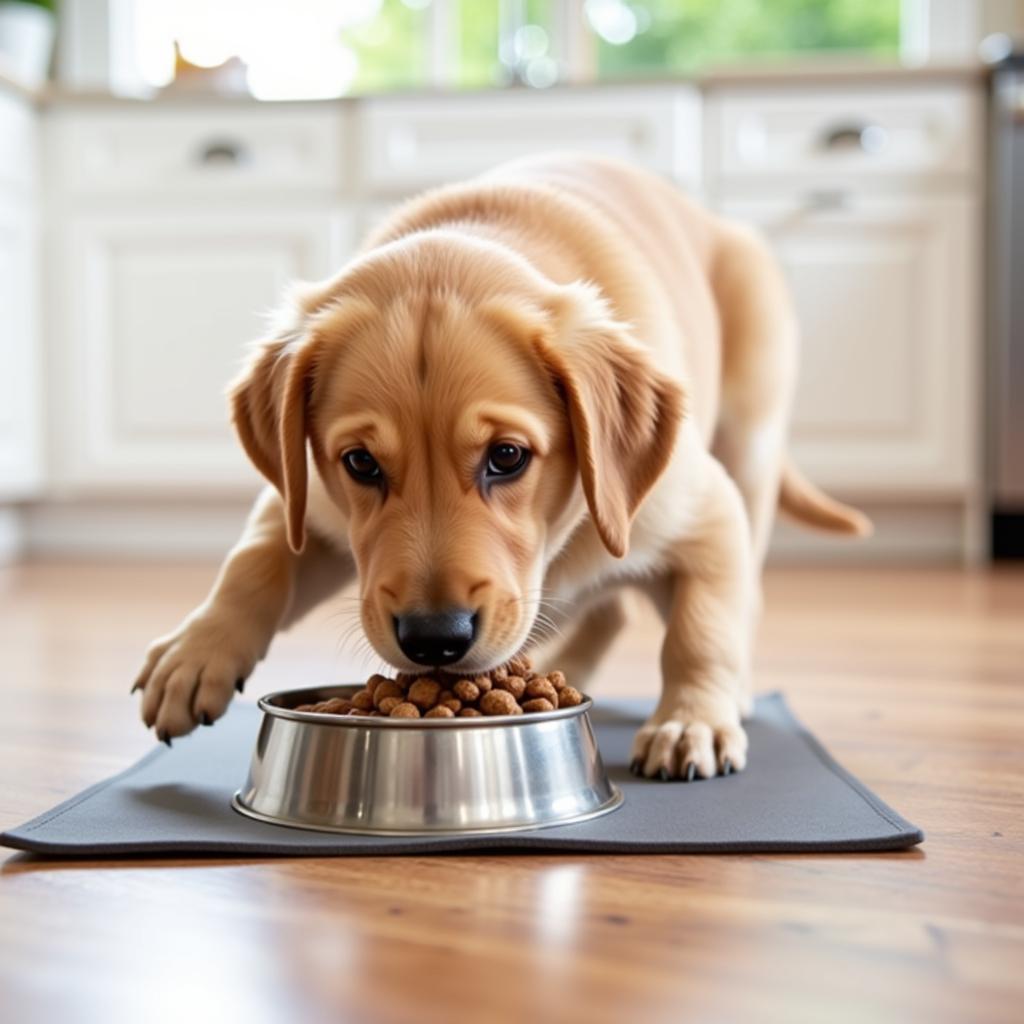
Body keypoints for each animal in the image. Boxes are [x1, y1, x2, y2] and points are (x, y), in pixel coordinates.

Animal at [132, 151, 864, 778]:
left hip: (750, 441)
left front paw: (691, 722)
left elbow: (702, 626)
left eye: (507, 457)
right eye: (361, 463)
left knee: (736, 595)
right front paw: (195, 654)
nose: (434, 640)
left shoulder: (705, 511)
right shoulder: (303, 494)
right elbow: (255, 559)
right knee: (610, 610)